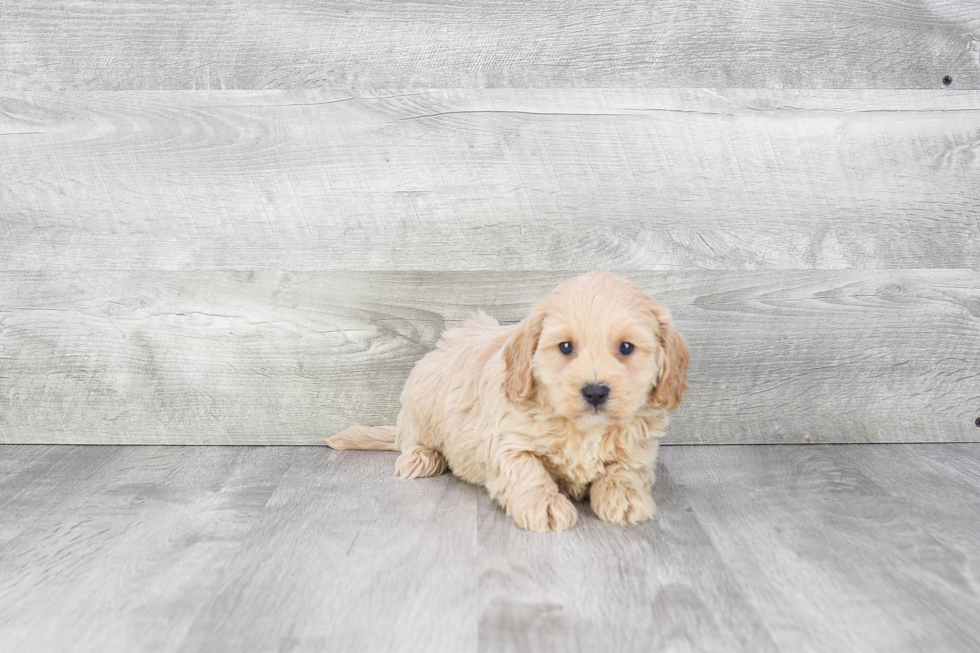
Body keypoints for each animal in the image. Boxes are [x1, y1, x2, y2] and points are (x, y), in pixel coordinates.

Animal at [324, 270, 688, 528]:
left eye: (626, 347)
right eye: (565, 347)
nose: (595, 391)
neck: (583, 429)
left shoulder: (639, 447)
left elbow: (625, 470)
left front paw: (625, 497)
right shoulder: (509, 442)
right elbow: (528, 472)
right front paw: (545, 506)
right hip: (421, 402)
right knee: (413, 441)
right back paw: (421, 458)